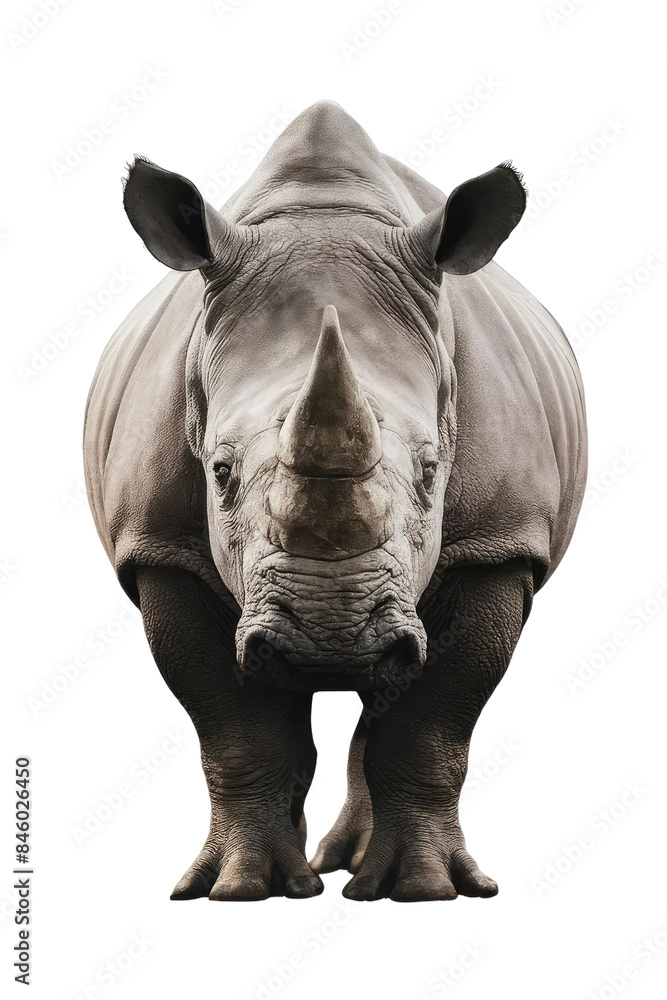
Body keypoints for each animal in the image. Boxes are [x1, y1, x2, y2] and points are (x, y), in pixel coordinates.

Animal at [83, 100, 587, 902]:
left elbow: (432, 721)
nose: (330, 644)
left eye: (432, 471)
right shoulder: (162, 546)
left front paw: (425, 891)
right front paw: (238, 889)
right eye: (219, 470)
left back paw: (355, 867)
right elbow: (234, 729)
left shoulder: (498, 541)